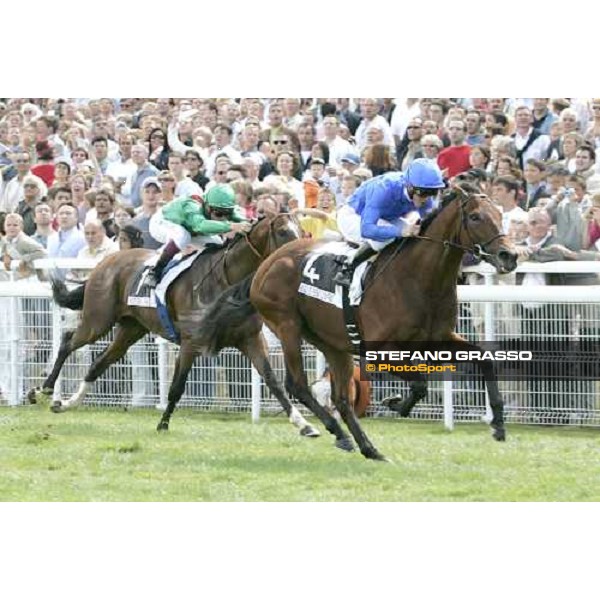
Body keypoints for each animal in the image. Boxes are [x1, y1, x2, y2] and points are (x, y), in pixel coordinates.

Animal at [30, 212, 322, 436]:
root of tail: (106, 261)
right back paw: (43, 389)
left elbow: (272, 381)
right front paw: (163, 423)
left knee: (97, 363)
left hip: (130, 329)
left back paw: (67, 403)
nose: (302, 255)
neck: (227, 282)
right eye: (283, 232)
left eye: (303, 230)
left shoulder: (249, 339)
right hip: (98, 319)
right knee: (68, 342)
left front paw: (304, 425)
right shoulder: (191, 342)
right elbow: (177, 387)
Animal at [203, 182, 520, 460]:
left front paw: (498, 424)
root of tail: (265, 265)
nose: (510, 255)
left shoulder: (438, 338)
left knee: (341, 399)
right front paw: (396, 404)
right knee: (298, 385)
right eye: (476, 216)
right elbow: (419, 384)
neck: (419, 279)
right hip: (287, 326)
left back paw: (368, 448)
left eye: (500, 213)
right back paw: (337, 433)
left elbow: (484, 360)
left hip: (332, 342)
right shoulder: (379, 350)